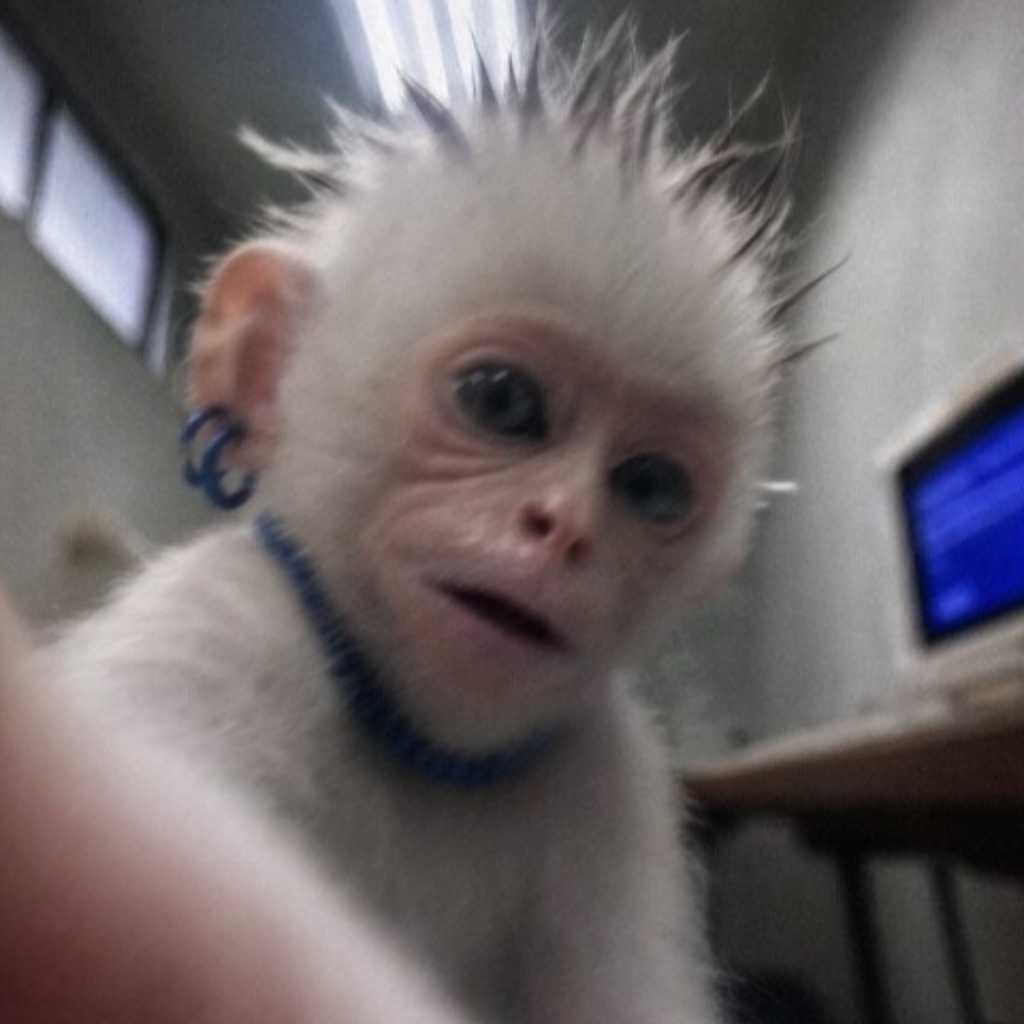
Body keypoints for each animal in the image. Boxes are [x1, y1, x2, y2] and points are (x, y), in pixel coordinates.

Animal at [7, 19, 809, 1023]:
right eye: (502, 401)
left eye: (652, 487)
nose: (564, 529)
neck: (420, 749)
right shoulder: (216, 632)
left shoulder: (616, 775)